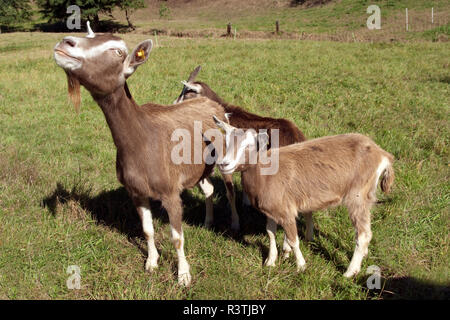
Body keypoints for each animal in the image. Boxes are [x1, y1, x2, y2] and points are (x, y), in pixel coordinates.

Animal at [54, 23, 227, 286]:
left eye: (117, 51)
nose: (65, 42)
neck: (143, 140)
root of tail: (212, 103)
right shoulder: (136, 192)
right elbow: (147, 230)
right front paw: (151, 263)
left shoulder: (170, 192)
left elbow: (177, 237)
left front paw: (183, 275)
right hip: (199, 169)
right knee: (208, 188)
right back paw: (208, 222)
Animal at [214, 117, 394, 278]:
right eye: (226, 142)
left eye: (249, 145)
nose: (224, 164)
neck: (264, 172)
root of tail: (382, 154)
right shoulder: (271, 209)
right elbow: (270, 232)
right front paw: (270, 261)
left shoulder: (286, 212)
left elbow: (294, 240)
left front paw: (301, 266)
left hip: (357, 196)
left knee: (363, 234)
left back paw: (349, 272)